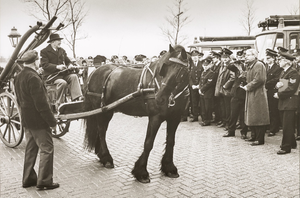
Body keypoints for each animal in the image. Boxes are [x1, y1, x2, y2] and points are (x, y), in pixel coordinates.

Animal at [82, 44, 190, 183]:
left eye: (181, 72)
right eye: (165, 67)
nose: (159, 97)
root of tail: (95, 71)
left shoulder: (175, 117)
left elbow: (171, 141)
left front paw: (169, 168)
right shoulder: (155, 117)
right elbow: (148, 143)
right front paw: (141, 172)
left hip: (107, 111)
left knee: (102, 131)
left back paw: (101, 155)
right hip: (102, 111)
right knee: (101, 131)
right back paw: (106, 158)